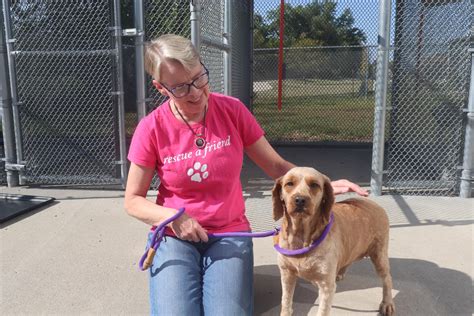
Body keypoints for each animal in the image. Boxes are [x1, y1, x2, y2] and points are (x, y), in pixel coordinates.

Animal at [272, 167, 394, 314]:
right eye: (289, 183)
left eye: (314, 185)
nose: (300, 199)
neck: (301, 238)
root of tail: (373, 203)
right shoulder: (286, 274)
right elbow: (285, 303)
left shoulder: (326, 286)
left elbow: (322, 311)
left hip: (379, 256)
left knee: (387, 279)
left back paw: (387, 303)